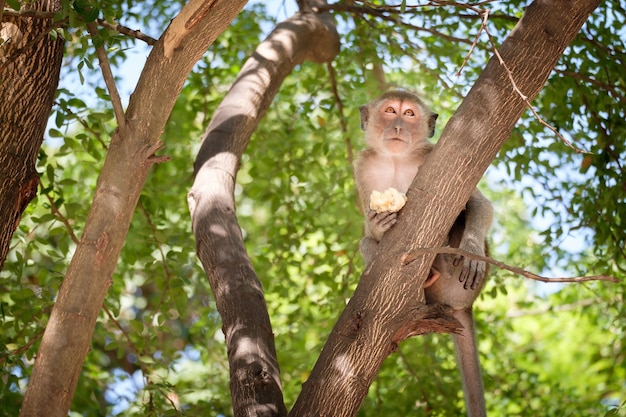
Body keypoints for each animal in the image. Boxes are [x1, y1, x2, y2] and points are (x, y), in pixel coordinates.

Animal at [352, 89, 492, 414]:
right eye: (390, 111)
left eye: (409, 114)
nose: (398, 126)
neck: (395, 158)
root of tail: (461, 305)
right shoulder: (362, 167)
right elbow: (369, 230)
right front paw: (379, 221)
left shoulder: (435, 157)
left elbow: (479, 203)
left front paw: (471, 250)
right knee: (366, 245)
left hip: (458, 286)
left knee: (460, 215)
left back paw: (442, 263)